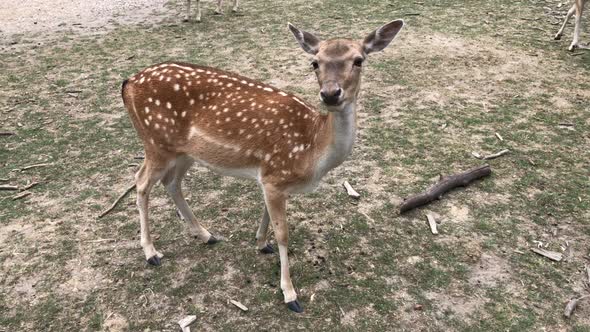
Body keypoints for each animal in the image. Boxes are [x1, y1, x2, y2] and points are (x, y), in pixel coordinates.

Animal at [122, 20, 404, 312]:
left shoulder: (269, 176)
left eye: (359, 60)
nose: (330, 94)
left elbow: (267, 215)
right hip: (155, 143)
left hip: (183, 151)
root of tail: (128, 83)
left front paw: (260, 243)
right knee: (141, 182)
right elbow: (283, 233)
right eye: (314, 62)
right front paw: (290, 293)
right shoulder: (275, 175)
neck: (312, 150)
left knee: (172, 183)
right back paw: (151, 252)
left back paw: (206, 235)